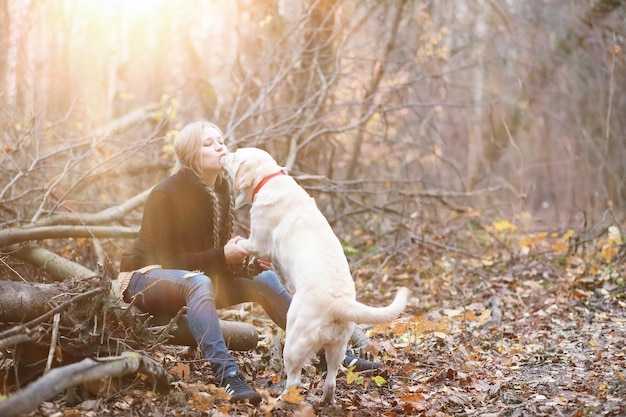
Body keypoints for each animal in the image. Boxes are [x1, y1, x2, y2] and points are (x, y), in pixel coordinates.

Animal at [221, 147, 410, 404]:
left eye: (236, 155)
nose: (223, 152)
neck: (271, 178)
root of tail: (338, 304)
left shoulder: (258, 242)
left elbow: (242, 242)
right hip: (337, 348)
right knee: (331, 380)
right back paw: (325, 400)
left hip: (294, 341)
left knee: (294, 380)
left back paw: (281, 400)